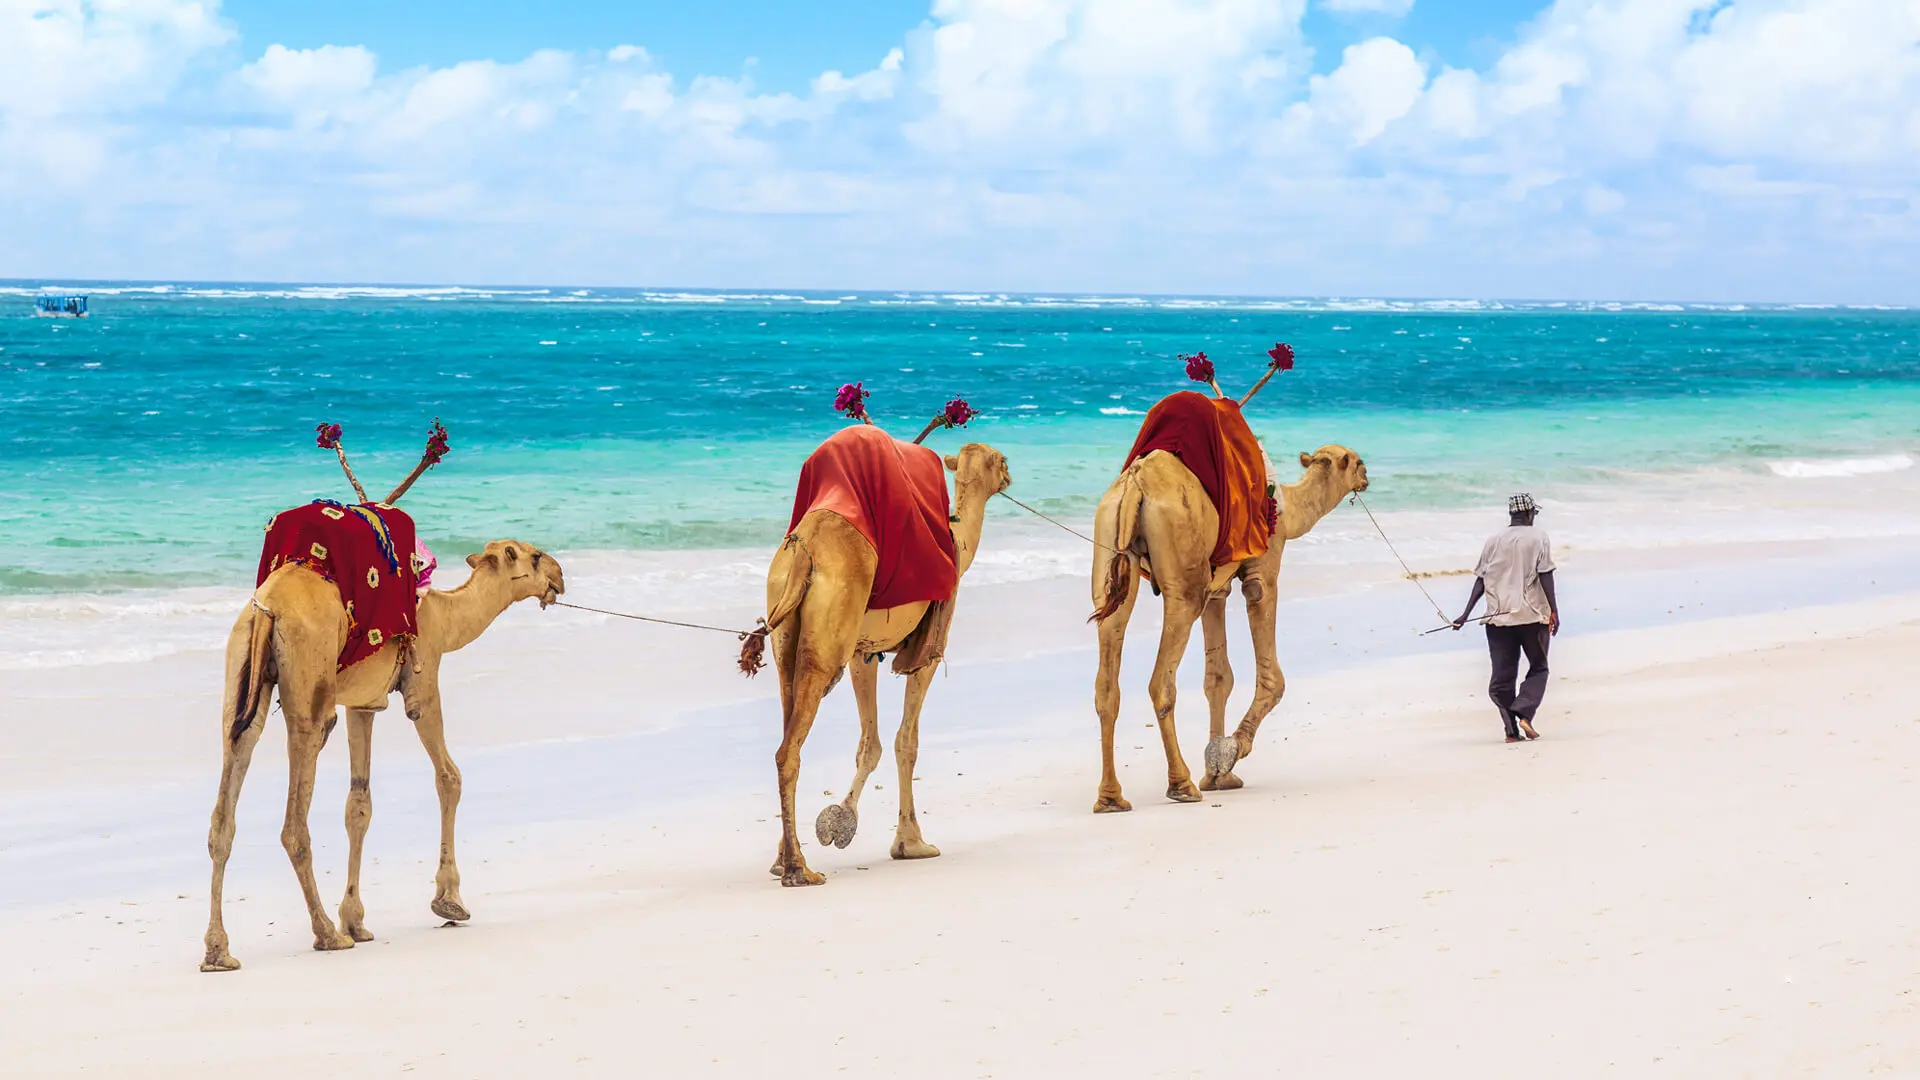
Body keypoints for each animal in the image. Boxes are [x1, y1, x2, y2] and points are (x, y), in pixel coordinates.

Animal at [200, 539, 564, 972]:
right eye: (535, 556)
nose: (560, 577)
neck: (443, 615)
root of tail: (267, 607)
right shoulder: (423, 681)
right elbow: (449, 777)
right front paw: (449, 902)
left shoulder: (363, 705)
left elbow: (358, 805)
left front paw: (356, 920)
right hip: (309, 688)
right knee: (294, 822)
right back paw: (326, 934)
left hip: (241, 675)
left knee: (225, 808)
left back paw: (218, 951)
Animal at [762, 441, 1010, 886]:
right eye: (1000, 460)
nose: (1010, 473)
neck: (958, 542)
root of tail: (806, 549)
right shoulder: (925, 653)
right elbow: (904, 741)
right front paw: (910, 843)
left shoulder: (864, 652)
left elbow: (870, 743)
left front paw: (839, 823)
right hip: (827, 641)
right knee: (790, 749)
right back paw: (799, 870)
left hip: (786, 633)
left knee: (786, 733)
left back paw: (786, 860)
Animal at [1087, 443, 1368, 811]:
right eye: (1357, 462)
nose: (1366, 478)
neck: (1288, 508)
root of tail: (1136, 482)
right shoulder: (1264, 568)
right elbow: (1272, 677)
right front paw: (1231, 751)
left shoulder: (1217, 589)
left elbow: (1218, 679)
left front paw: (1218, 774)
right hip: (1183, 577)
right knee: (1162, 681)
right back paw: (1182, 785)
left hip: (1110, 548)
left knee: (1107, 677)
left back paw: (1111, 798)